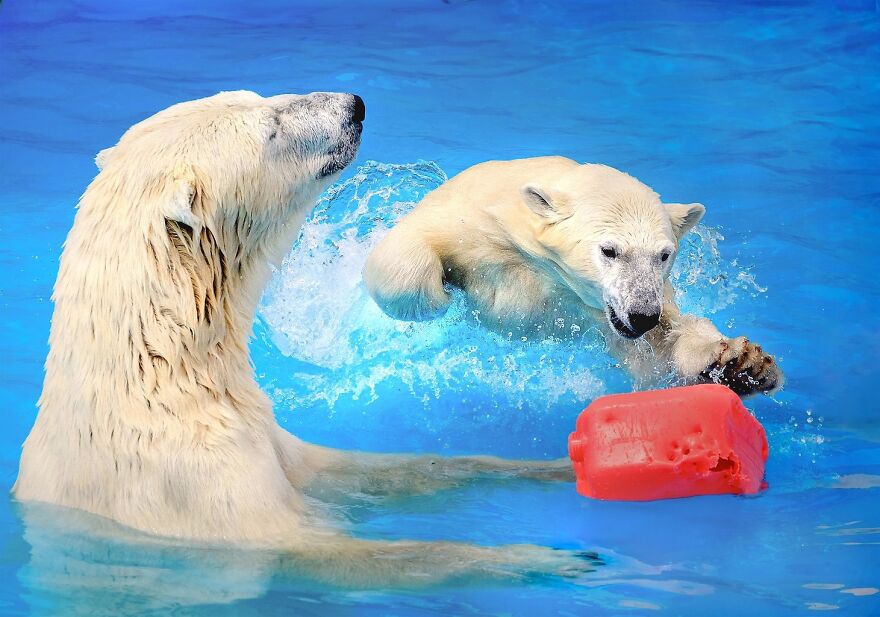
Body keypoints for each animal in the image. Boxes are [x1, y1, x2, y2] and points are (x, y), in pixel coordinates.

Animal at [13, 93, 596, 588]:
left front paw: (557, 462)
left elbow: (366, 469)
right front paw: (545, 558)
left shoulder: (269, 443)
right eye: (271, 126)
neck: (165, 379)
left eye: (258, 97)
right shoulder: (199, 493)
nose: (354, 105)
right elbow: (352, 553)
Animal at [363, 156, 783, 396]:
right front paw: (440, 297)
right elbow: (408, 246)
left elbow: (661, 356)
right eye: (609, 250)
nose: (643, 316)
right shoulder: (475, 220)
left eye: (663, 255)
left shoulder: (610, 312)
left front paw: (744, 366)